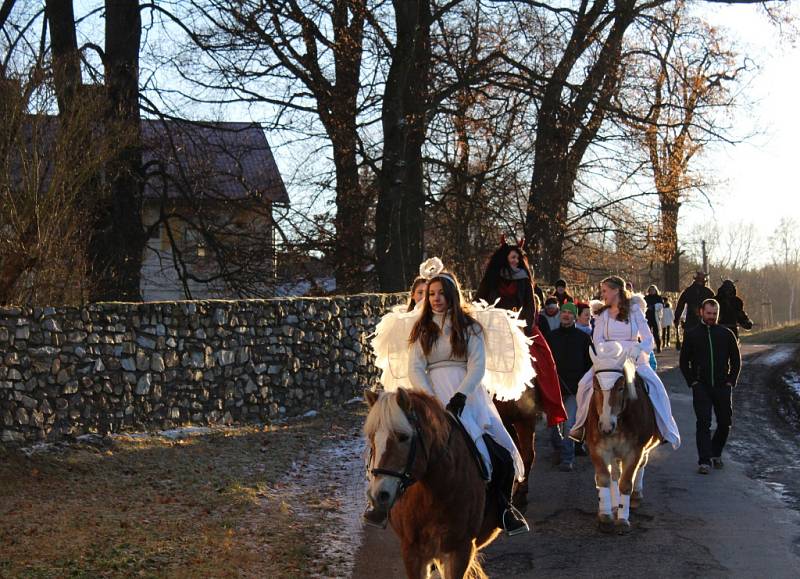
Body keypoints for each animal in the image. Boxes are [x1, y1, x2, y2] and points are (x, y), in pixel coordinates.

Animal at [364, 390, 500, 579]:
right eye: (371, 438)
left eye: (403, 437)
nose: (378, 495)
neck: (435, 494)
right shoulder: (411, 551)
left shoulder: (461, 550)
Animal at [584, 342, 660, 536]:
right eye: (595, 387)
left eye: (620, 387)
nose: (606, 426)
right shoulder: (598, 448)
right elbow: (604, 478)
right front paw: (605, 515)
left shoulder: (635, 451)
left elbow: (626, 483)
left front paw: (623, 519)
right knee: (614, 476)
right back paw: (613, 505)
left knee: (640, 466)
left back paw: (635, 497)